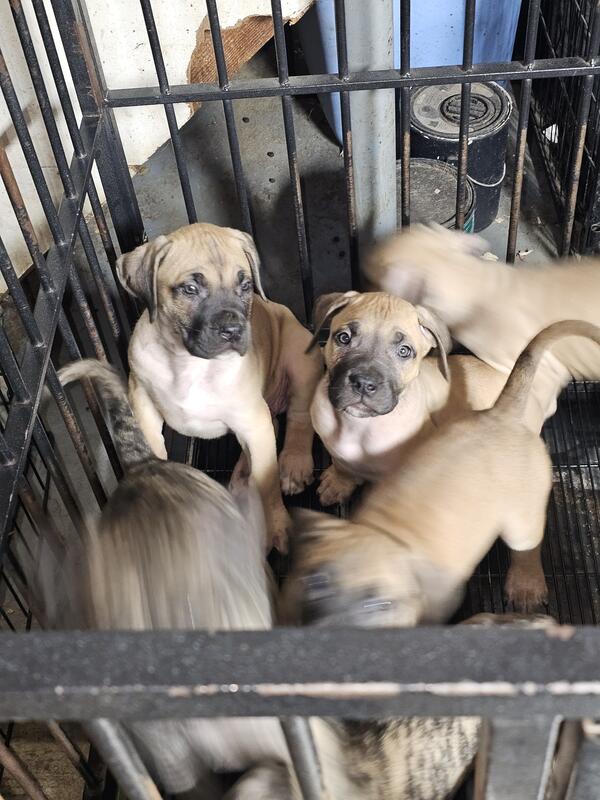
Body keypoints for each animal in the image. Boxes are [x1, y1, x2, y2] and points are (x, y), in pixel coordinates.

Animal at [116, 222, 323, 551]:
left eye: (246, 285)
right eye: (190, 289)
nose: (233, 330)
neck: (188, 363)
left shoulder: (252, 419)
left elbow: (268, 483)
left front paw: (277, 523)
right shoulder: (142, 401)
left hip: (301, 361)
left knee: (298, 419)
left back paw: (293, 464)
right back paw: (241, 475)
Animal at [285, 321, 600, 619]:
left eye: (380, 604)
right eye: (314, 583)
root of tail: (503, 414)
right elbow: (343, 464)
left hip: (523, 515)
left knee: (527, 546)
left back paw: (526, 585)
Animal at [308, 290, 515, 505]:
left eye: (404, 351)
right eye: (343, 338)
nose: (364, 383)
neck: (359, 426)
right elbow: (342, 465)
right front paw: (338, 482)